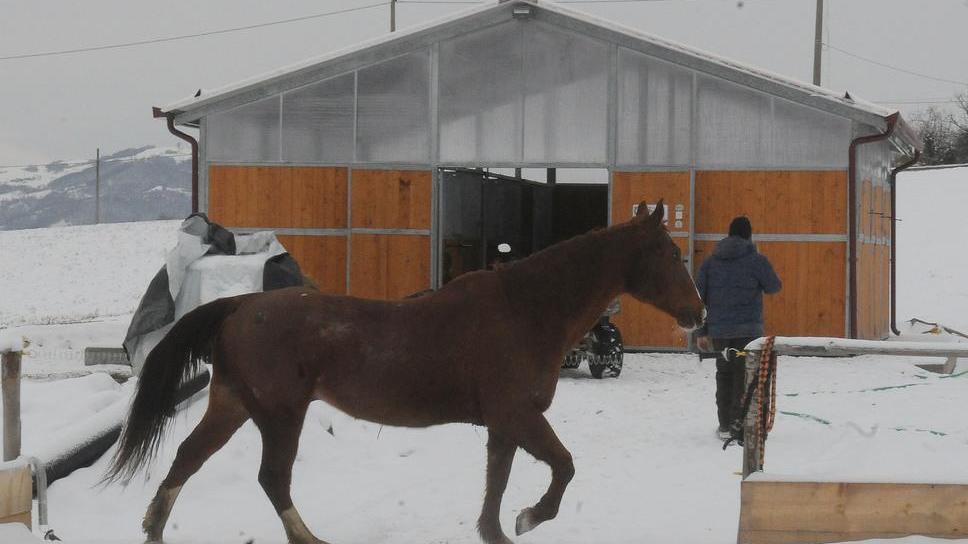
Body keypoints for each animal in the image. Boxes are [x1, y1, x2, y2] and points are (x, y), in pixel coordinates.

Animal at [106, 199, 705, 544]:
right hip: (279, 414)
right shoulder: (518, 414)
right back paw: (310, 540)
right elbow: (563, 467)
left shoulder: (504, 424)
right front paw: (529, 518)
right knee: (272, 479)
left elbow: (496, 485)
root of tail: (239, 305)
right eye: (671, 254)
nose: (699, 315)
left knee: (189, 457)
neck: (524, 309)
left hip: (232, 404)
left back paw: (153, 530)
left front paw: (499, 529)